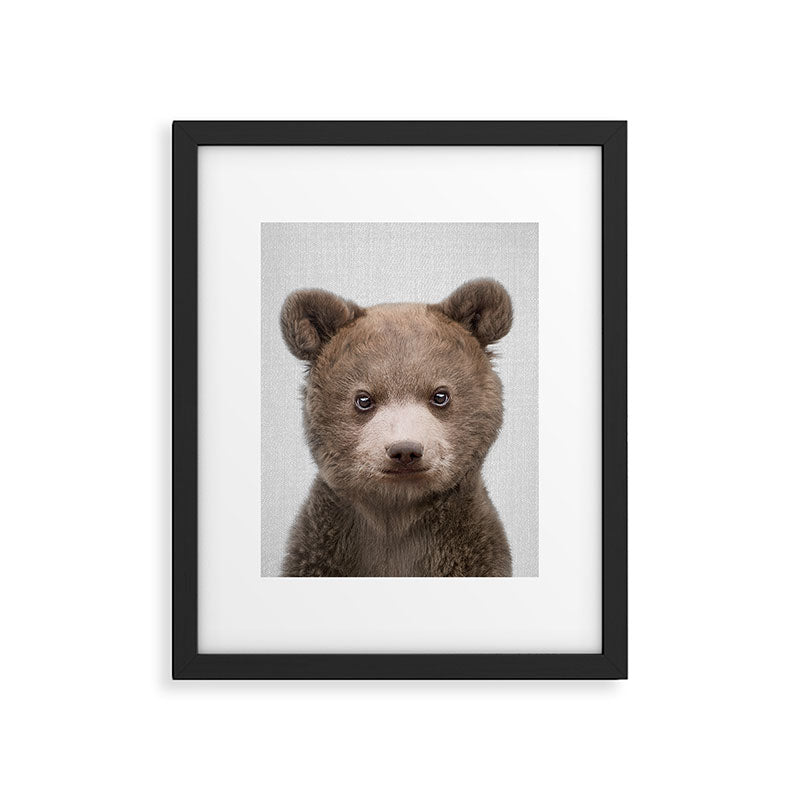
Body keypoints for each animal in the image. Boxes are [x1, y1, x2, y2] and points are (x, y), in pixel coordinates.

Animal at [279, 278, 513, 577]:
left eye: (440, 395)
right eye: (364, 399)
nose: (405, 450)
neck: (396, 513)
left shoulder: (471, 549)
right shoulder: (323, 548)